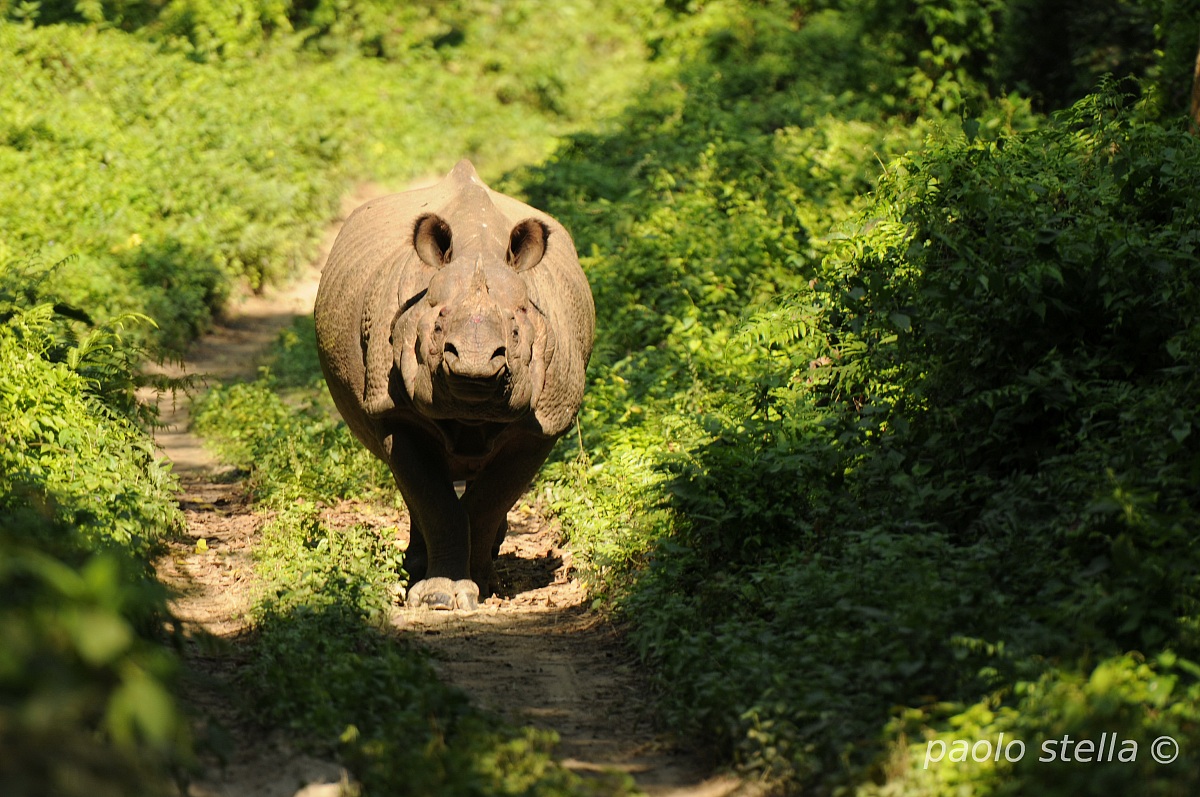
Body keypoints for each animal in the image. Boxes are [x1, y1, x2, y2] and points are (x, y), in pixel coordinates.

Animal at [314, 160, 594, 610]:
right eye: (438, 322)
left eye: (516, 328)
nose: (474, 363)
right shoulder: (394, 410)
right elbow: (434, 499)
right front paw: (440, 598)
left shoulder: (545, 421)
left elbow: (491, 498)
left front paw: (483, 584)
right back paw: (417, 568)